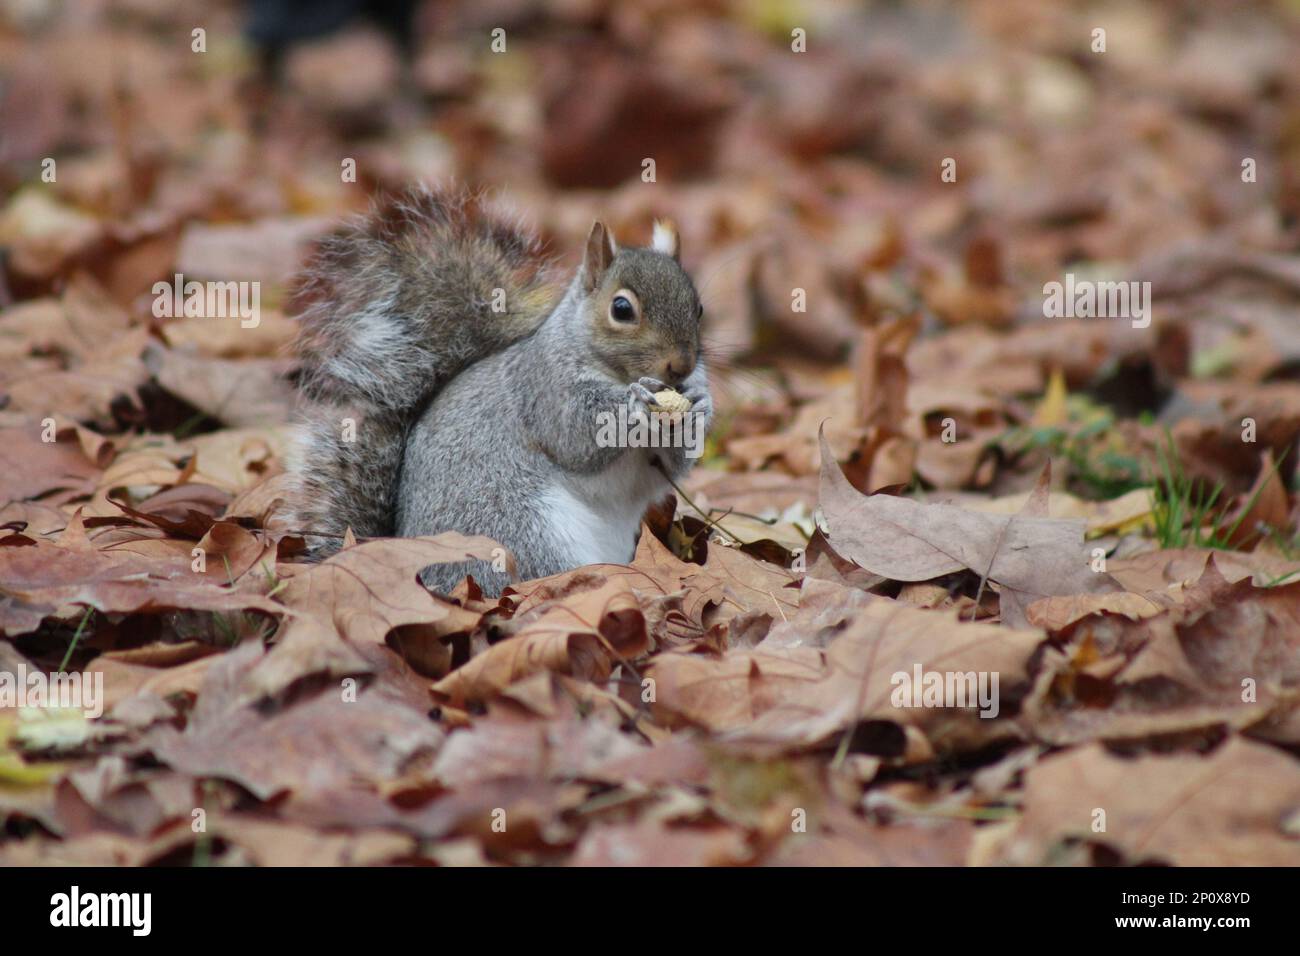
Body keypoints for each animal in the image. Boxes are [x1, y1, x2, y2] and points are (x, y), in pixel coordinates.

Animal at [287, 185, 712, 596]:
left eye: (699, 308)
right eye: (621, 309)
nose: (681, 366)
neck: (612, 371)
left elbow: (665, 470)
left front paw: (700, 404)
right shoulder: (544, 388)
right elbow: (575, 438)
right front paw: (634, 402)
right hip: (519, 529)